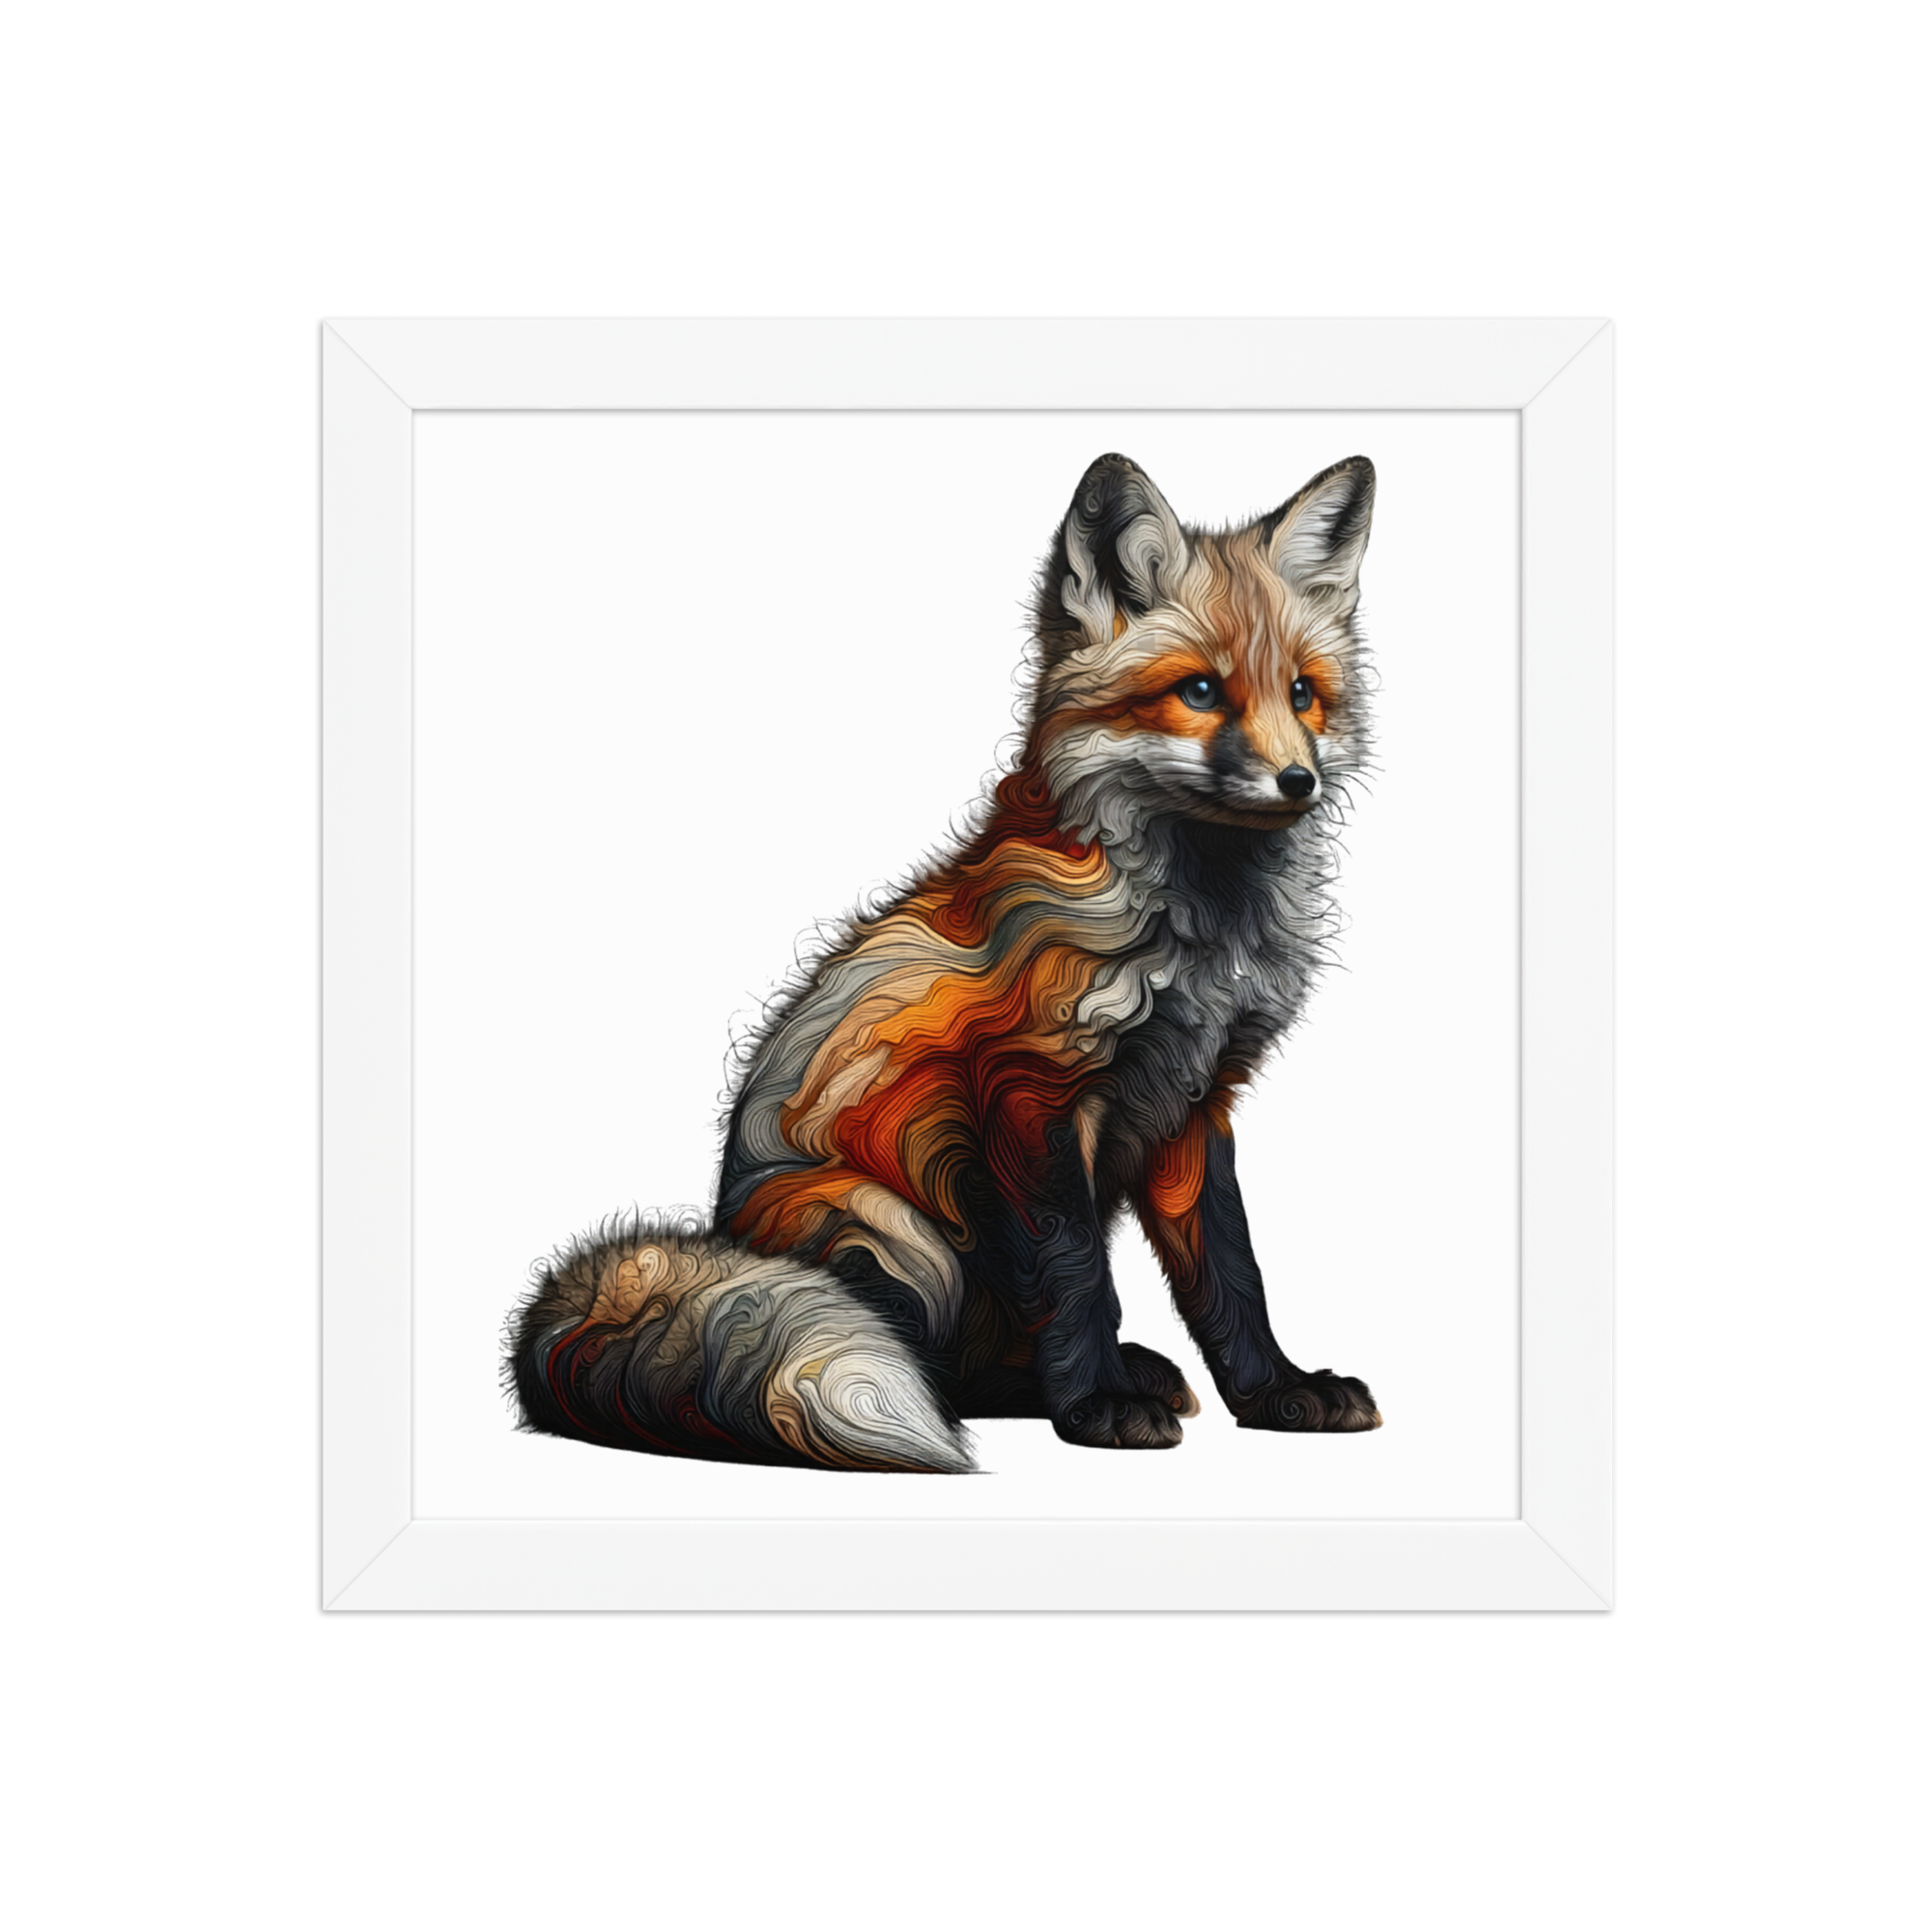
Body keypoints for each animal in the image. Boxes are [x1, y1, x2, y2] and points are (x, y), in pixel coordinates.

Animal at [506, 452, 1383, 1471]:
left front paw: (1277, 1392)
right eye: (1201, 692)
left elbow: (1232, 1276)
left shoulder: (1197, 1104)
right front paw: (1095, 1406)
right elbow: (1077, 1274)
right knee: (942, 1367)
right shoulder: (1029, 1092)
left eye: (1302, 694)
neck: (1201, 933)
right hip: (897, 1234)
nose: (1299, 781)